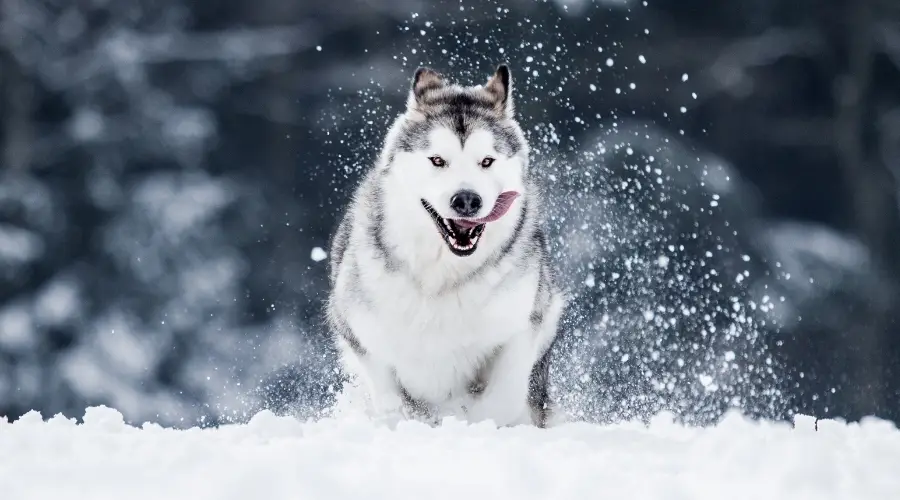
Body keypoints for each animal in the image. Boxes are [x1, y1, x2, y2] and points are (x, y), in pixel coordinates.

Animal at [326, 64, 568, 428]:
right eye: (438, 160)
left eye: (487, 161)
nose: (466, 199)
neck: (442, 275)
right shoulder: (356, 327)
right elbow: (391, 400)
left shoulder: (528, 320)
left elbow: (503, 398)